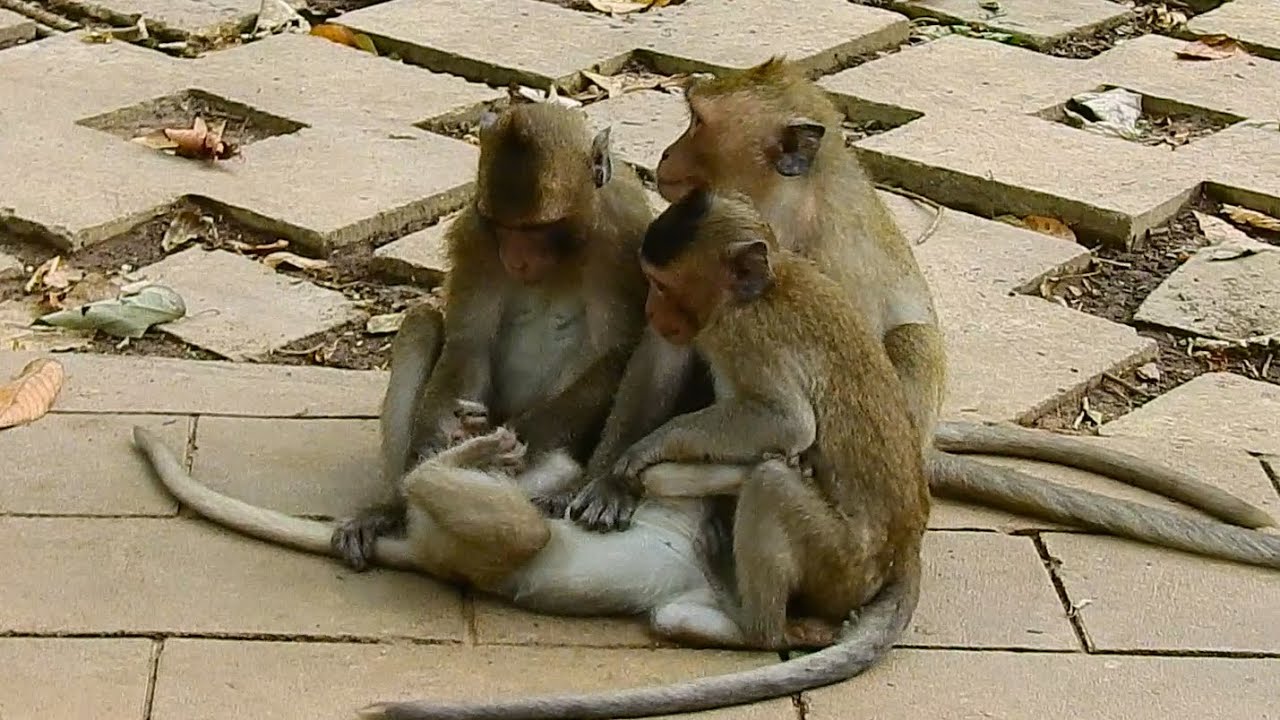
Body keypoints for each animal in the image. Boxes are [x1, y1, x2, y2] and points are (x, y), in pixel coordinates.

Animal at [333, 100, 655, 571]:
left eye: (538, 230)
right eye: (504, 228)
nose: (516, 259)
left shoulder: (625, 235)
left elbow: (615, 353)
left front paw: (512, 440)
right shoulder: (475, 233)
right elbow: (469, 340)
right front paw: (442, 442)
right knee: (421, 322)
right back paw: (395, 504)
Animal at [565, 56, 1279, 570]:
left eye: (697, 124)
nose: (664, 156)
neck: (780, 205)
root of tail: (930, 441)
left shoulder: (816, 263)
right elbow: (670, 345)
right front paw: (608, 477)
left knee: (907, 342)